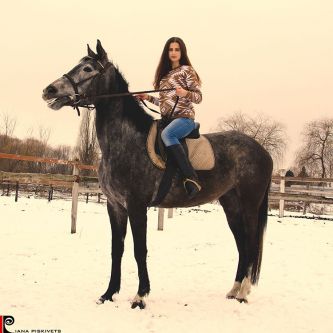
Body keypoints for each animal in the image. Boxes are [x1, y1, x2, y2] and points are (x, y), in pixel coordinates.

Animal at [42, 40, 272, 308]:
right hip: (231, 204)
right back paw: (234, 290)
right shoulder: (115, 206)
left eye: (88, 68)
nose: (49, 90)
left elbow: (139, 250)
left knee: (251, 243)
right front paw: (109, 294)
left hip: (249, 205)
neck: (125, 142)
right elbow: (116, 250)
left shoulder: (136, 206)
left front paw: (140, 296)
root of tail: (262, 151)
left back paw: (243, 293)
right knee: (242, 246)